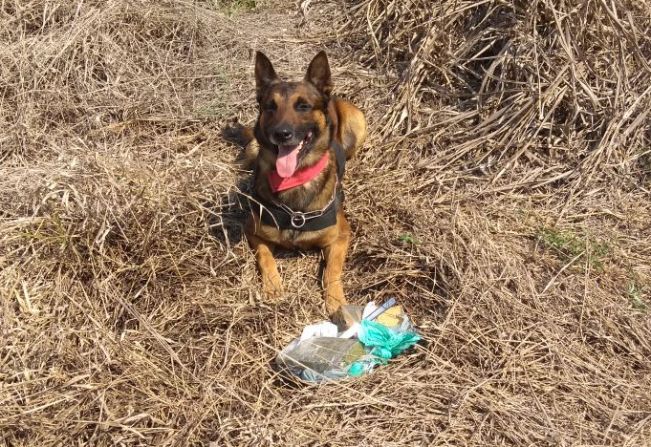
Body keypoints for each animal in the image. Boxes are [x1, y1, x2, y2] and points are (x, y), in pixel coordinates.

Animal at [233, 50, 366, 314]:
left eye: (303, 106)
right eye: (270, 106)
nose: (282, 134)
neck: (295, 181)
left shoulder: (341, 235)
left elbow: (332, 270)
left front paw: (335, 299)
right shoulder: (252, 230)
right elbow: (265, 257)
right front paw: (273, 286)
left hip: (358, 124)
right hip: (253, 147)